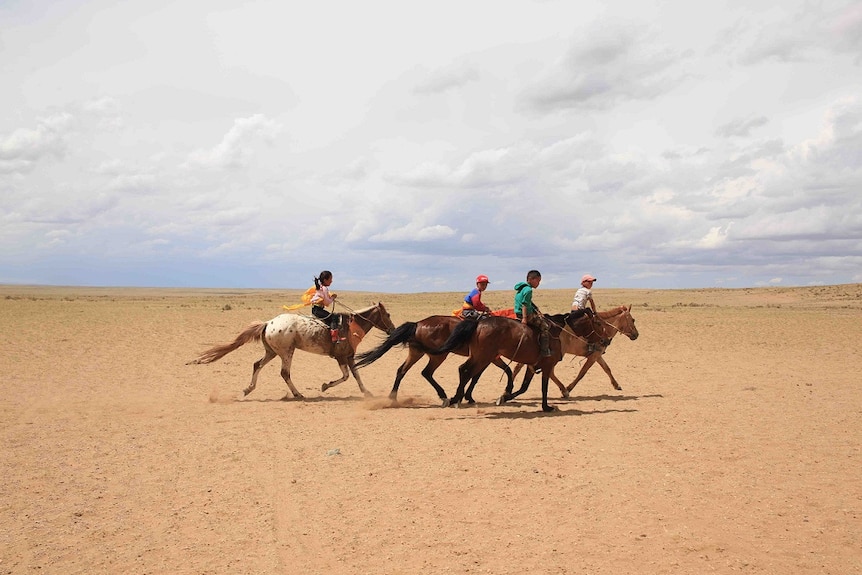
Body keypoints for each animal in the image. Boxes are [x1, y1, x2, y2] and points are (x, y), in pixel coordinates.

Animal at [187, 302, 396, 400]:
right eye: (387, 314)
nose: (393, 330)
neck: (351, 327)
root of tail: (267, 323)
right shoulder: (341, 357)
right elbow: (346, 376)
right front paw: (325, 386)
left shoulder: (349, 357)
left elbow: (356, 375)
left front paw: (367, 392)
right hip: (286, 352)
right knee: (284, 372)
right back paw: (298, 394)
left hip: (272, 352)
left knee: (257, 365)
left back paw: (248, 389)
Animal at [352, 318, 512, 408]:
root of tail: (417, 324)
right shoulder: (489, 358)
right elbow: (479, 376)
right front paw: (468, 397)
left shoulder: (489, 358)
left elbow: (478, 376)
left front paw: (468, 397)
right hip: (438, 355)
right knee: (426, 372)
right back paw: (444, 397)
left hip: (416, 353)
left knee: (402, 370)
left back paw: (393, 398)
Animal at [430, 312, 608, 412]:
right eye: (598, 323)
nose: (606, 341)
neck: (559, 333)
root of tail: (478, 323)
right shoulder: (547, 366)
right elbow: (544, 387)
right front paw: (546, 407)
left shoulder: (531, 366)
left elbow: (524, 387)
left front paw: (504, 397)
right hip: (483, 357)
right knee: (465, 371)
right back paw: (455, 399)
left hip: (480, 357)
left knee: (463, 370)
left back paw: (455, 398)